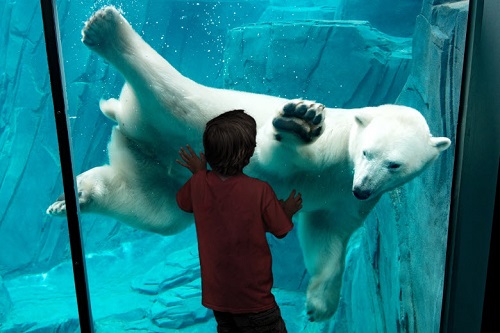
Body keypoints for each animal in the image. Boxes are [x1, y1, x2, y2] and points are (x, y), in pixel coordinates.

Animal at [47, 5, 452, 322]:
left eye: (395, 165)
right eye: (367, 153)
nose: (363, 188)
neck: (344, 162)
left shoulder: (345, 198)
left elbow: (326, 232)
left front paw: (320, 304)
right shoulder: (328, 145)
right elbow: (277, 152)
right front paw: (302, 119)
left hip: (157, 167)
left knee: (154, 209)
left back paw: (75, 197)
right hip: (194, 107)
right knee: (171, 91)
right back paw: (105, 28)